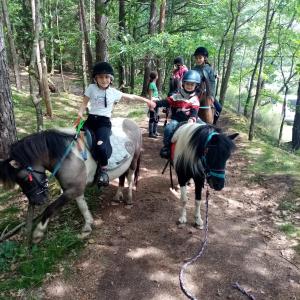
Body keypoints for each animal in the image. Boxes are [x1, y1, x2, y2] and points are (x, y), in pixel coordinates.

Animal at [0, 118, 142, 243]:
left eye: (23, 179)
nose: (37, 201)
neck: (66, 156)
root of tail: (131, 121)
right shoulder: (75, 188)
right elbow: (82, 205)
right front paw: (88, 225)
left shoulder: (73, 189)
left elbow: (50, 208)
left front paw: (38, 233)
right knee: (122, 178)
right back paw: (117, 196)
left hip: (133, 161)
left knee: (130, 178)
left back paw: (129, 199)